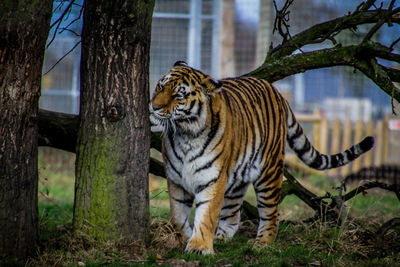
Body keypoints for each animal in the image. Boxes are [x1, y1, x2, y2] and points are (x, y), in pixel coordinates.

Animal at [148, 61, 374, 255]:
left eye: (178, 95)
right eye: (160, 86)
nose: (154, 107)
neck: (186, 132)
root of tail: (276, 91)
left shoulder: (212, 179)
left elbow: (207, 215)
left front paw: (199, 247)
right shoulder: (176, 179)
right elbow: (177, 217)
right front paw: (186, 238)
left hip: (269, 173)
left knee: (271, 212)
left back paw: (262, 242)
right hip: (237, 175)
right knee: (233, 212)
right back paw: (222, 237)